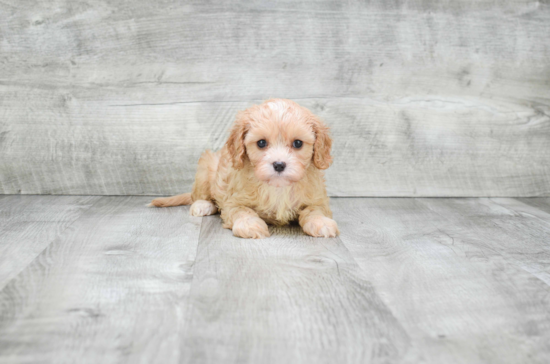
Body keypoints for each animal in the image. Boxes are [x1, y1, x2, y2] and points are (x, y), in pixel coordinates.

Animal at [152, 98, 340, 239]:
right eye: (261, 143)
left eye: (298, 143)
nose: (279, 165)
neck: (277, 187)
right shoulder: (233, 200)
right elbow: (242, 211)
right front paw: (250, 225)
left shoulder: (317, 199)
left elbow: (315, 210)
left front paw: (321, 222)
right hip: (206, 168)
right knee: (200, 196)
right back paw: (203, 205)